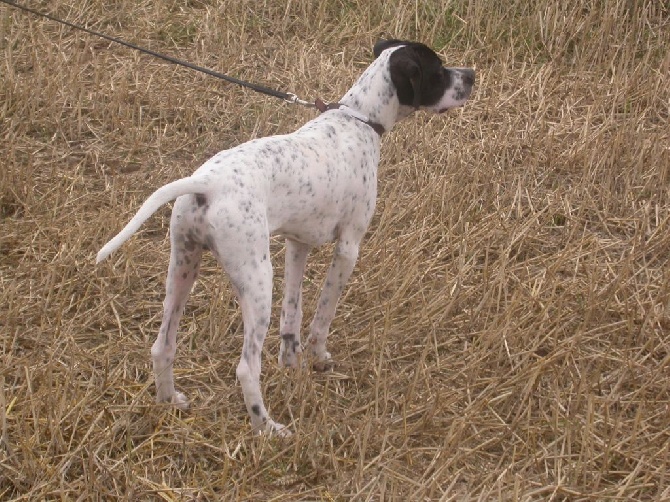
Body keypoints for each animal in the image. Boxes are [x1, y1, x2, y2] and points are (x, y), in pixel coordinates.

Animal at [97, 39, 478, 436]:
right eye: (438, 71)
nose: (471, 75)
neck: (358, 120)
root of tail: (208, 183)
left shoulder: (299, 244)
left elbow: (292, 313)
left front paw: (290, 362)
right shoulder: (348, 248)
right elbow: (323, 315)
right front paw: (318, 358)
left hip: (183, 267)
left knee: (163, 346)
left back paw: (168, 400)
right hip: (257, 280)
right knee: (246, 367)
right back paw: (267, 428)